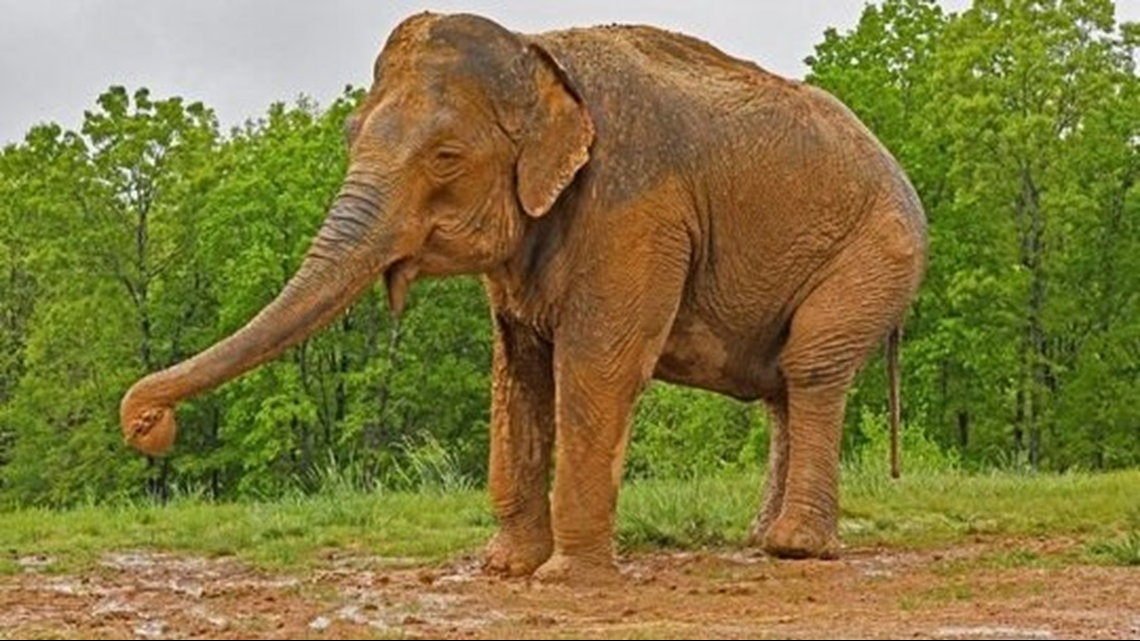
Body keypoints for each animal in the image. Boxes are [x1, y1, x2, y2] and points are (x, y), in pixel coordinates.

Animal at [122, 13, 925, 583]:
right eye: (351, 134)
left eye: (446, 156)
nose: (146, 425)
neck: (539, 54)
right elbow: (518, 370)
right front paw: (505, 568)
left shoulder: (635, 207)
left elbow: (599, 363)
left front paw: (564, 578)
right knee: (784, 387)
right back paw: (762, 540)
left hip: (874, 252)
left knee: (811, 369)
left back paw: (795, 549)